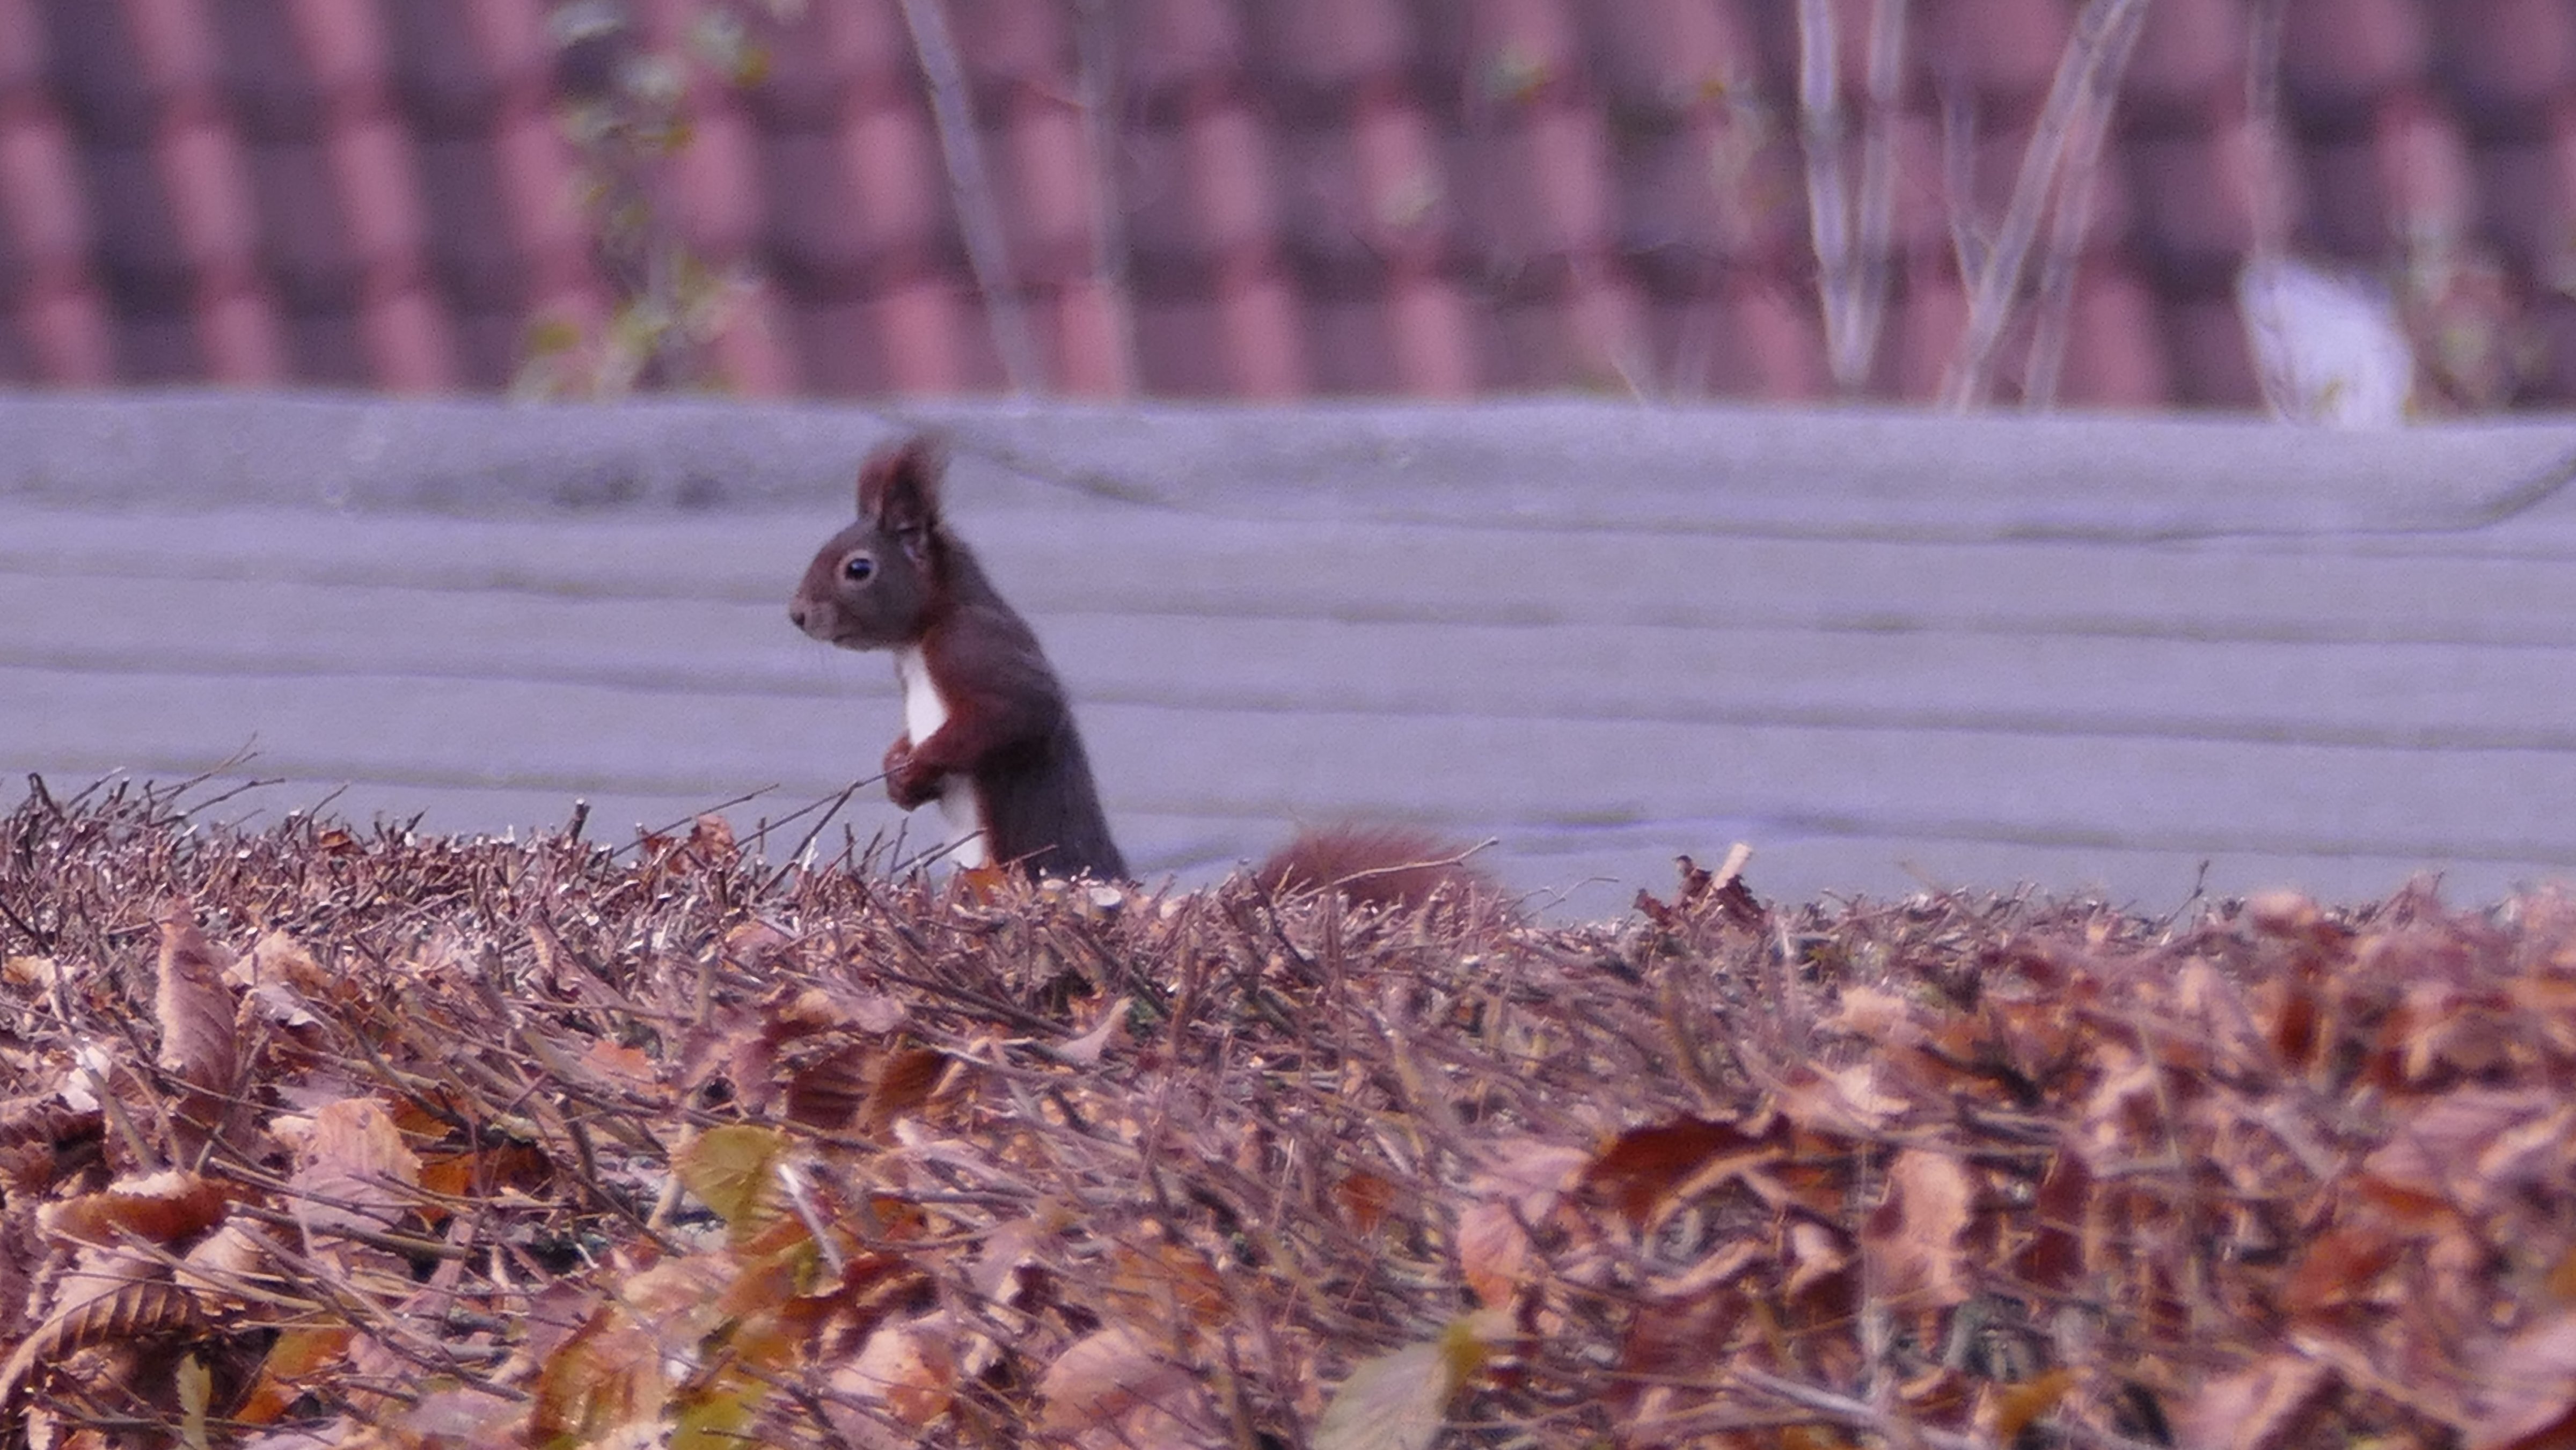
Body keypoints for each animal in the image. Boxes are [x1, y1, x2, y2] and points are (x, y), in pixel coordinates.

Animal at [793, 437, 1504, 906]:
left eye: (858, 568)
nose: (797, 614)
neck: (918, 642)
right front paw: (897, 770)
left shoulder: (976, 651)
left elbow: (1014, 712)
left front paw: (917, 768)